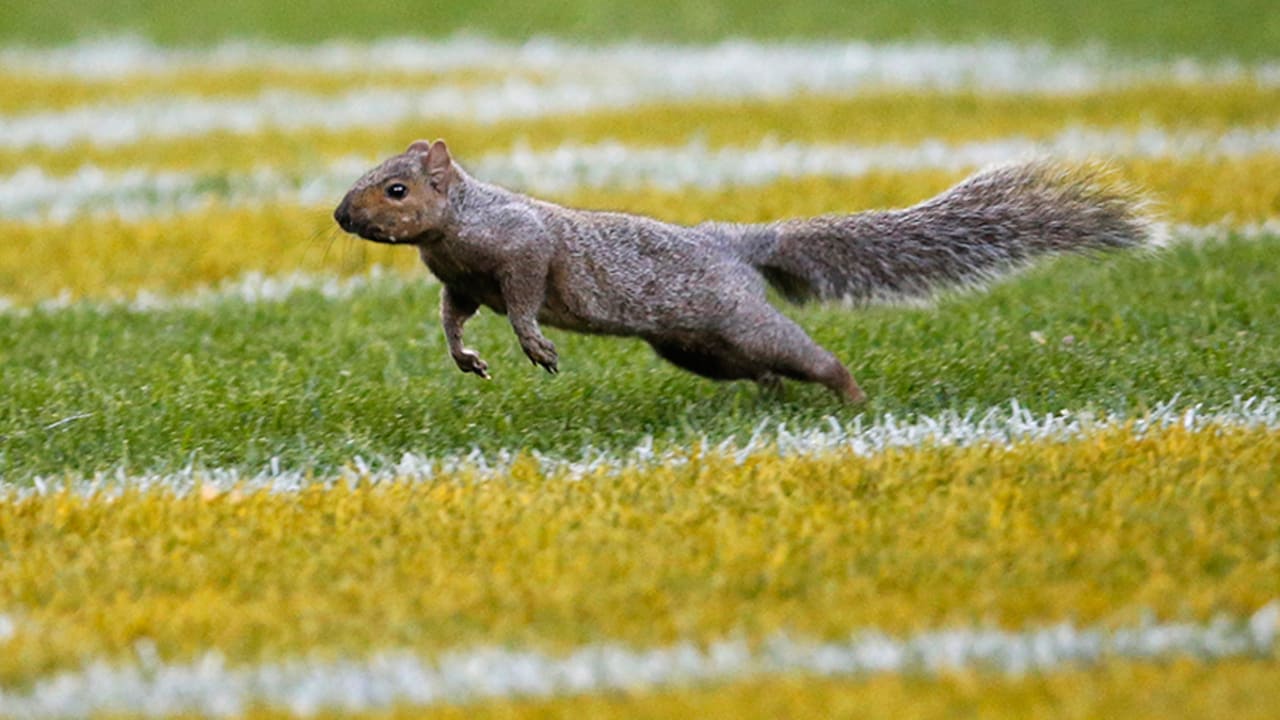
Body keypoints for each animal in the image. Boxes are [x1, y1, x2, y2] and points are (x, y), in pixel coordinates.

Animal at [334, 140, 1158, 402]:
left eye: (396, 189)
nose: (342, 215)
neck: (455, 225)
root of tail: (734, 245)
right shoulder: (458, 280)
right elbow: (453, 317)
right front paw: (465, 356)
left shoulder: (523, 244)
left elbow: (528, 290)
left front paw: (534, 341)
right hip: (698, 348)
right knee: (760, 368)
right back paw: (771, 397)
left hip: (737, 319)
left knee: (810, 355)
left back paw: (851, 396)